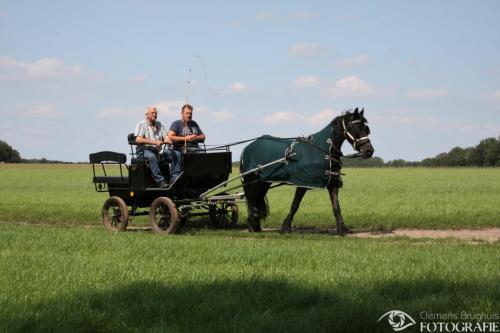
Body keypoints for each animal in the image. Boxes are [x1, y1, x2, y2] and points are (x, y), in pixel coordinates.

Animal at [240, 107, 374, 235]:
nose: (369, 151)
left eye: (366, 128)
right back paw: (252, 223)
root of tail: (248, 147)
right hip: (251, 179)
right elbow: (295, 205)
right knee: (251, 199)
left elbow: (336, 207)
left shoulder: (332, 183)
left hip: (263, 182)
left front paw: (342, 229)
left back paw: (255, 224)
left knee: (255, 199)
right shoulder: (303, 183)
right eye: (355, 127)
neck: (324, 150)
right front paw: (285, 228)